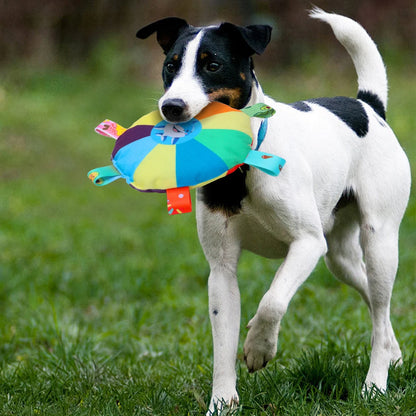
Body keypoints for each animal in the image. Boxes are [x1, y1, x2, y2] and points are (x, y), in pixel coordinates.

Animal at [136, 7, 410, 412]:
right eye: (170, 66)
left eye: (213, 65)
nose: (171, 106)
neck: (243, 164)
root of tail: (368, 106)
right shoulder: (221, 270)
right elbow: (222, 344)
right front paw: (221, 403)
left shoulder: (307, 244)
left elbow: (273, 301)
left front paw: (259, 348)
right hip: (340, 257)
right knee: (377, 304)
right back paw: (393, 353)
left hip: (379, 242)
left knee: (378, 303)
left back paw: (375, 382)